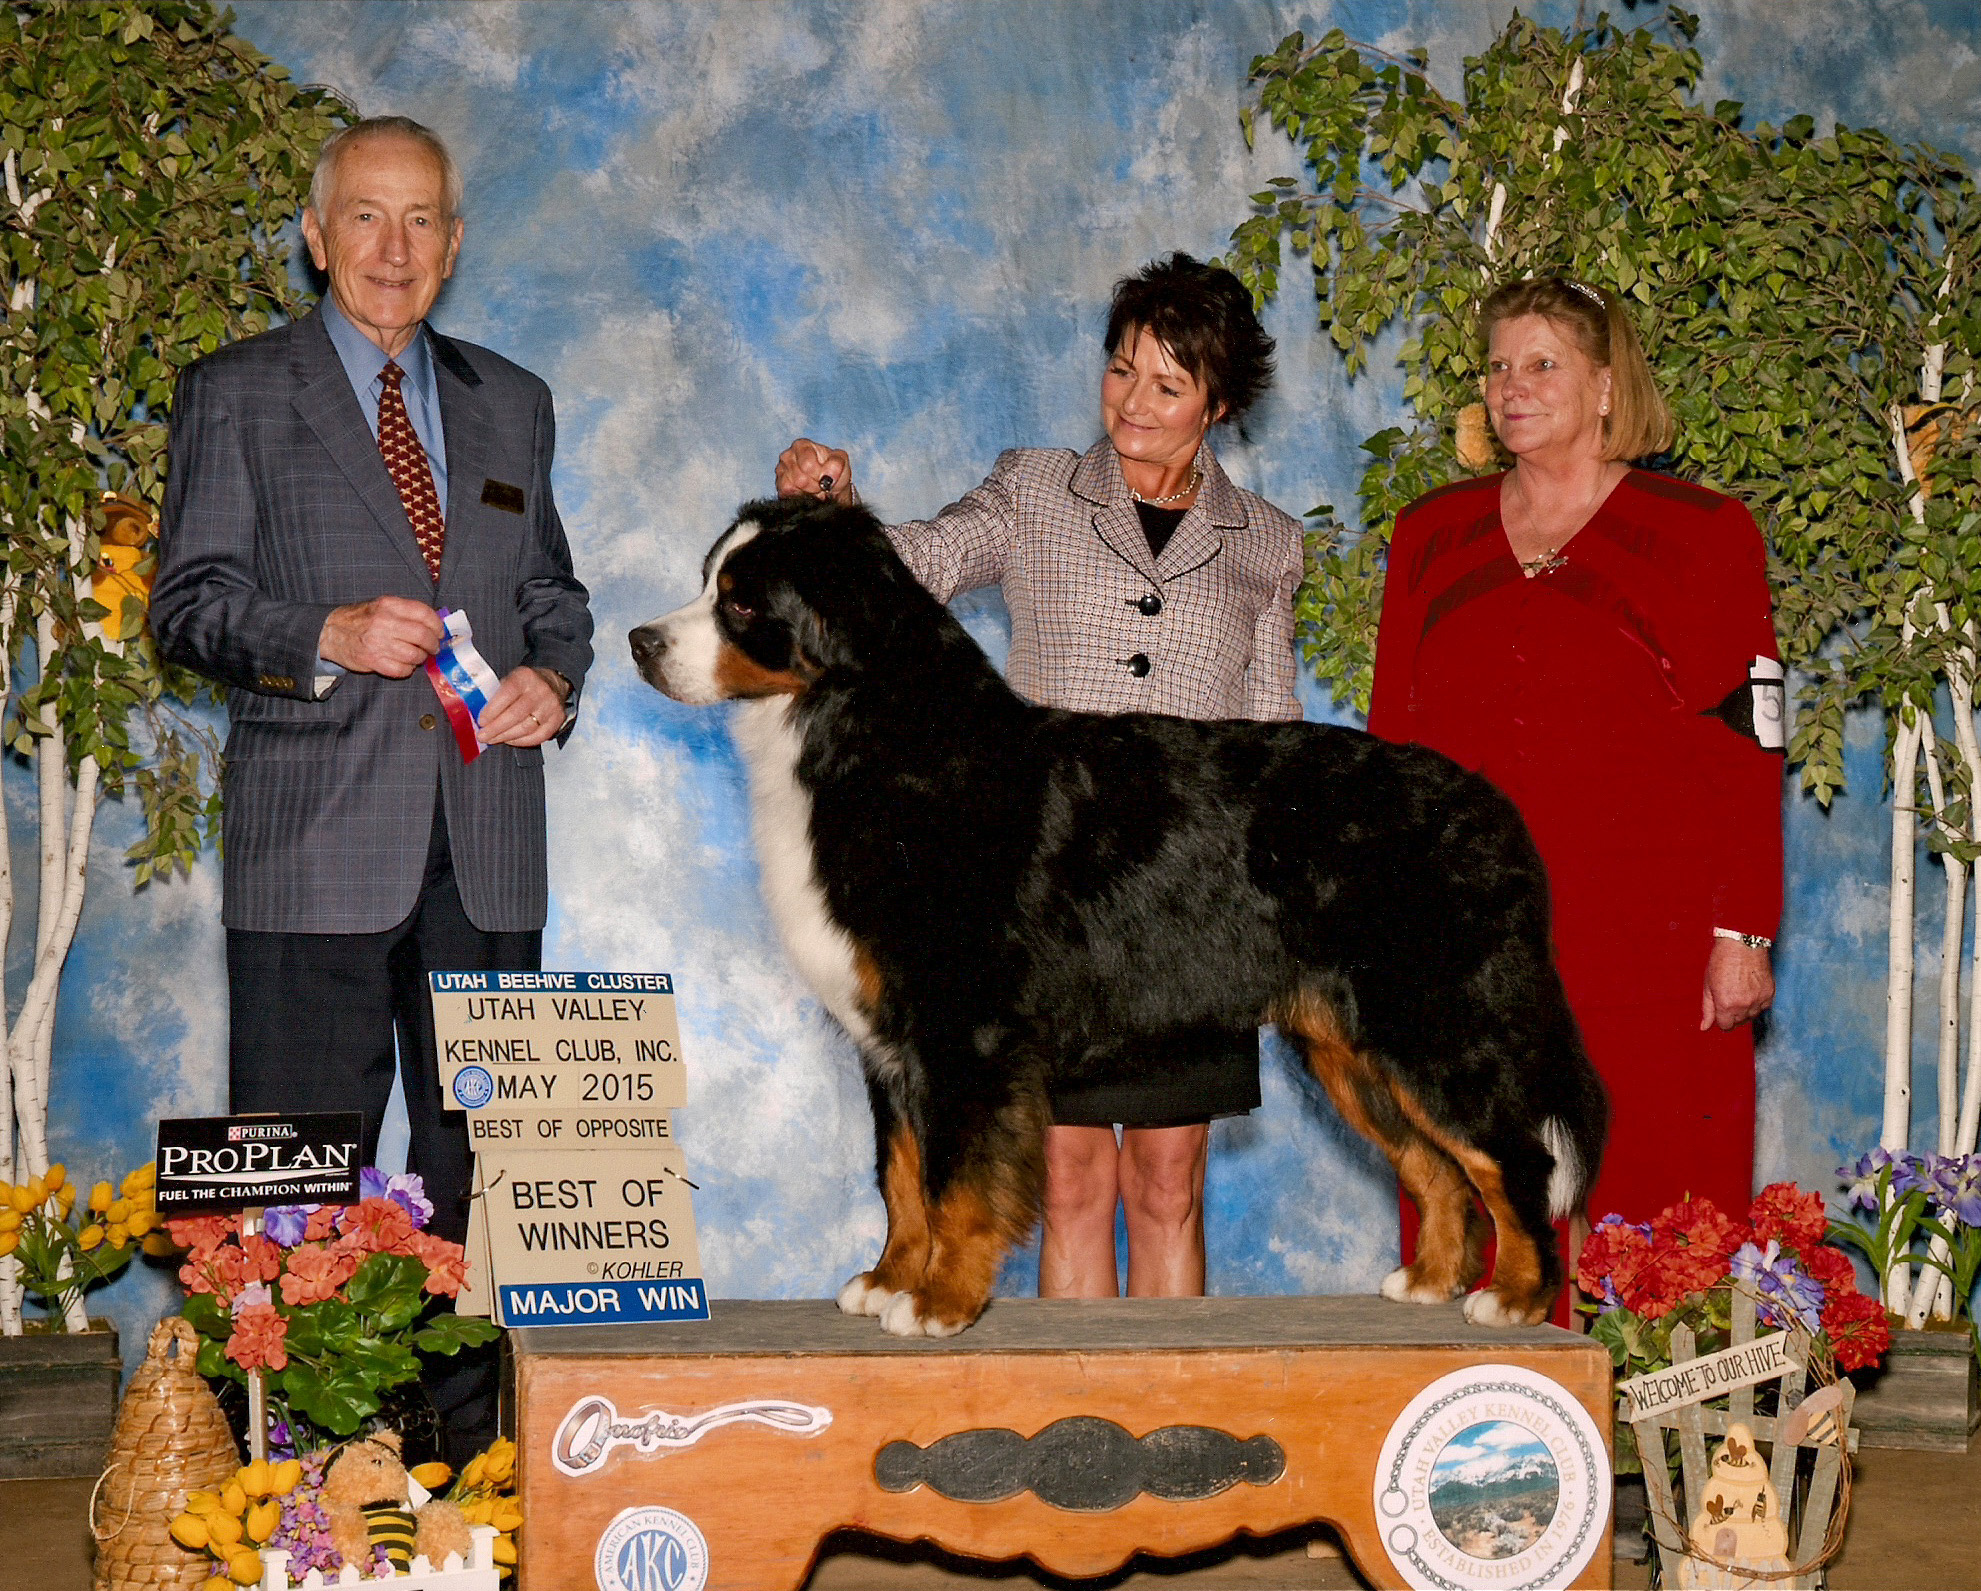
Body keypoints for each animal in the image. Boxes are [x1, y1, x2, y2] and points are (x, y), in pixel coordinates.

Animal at [633, 495, 1608, 1331]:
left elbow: (954, 1180)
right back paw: (1431, 1279)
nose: (641, 639)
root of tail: (1492, 807)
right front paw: (887, 1279)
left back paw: (1514, 1297)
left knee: (1511, 1157)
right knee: (1435, 1166)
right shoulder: (888, 1039)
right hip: (1350, 1046)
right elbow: (901, 1173)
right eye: (707, 580)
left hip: (1438, 1022)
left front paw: (940, 1301)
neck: (867, 734)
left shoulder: (962, 1028)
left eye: (741, 601)